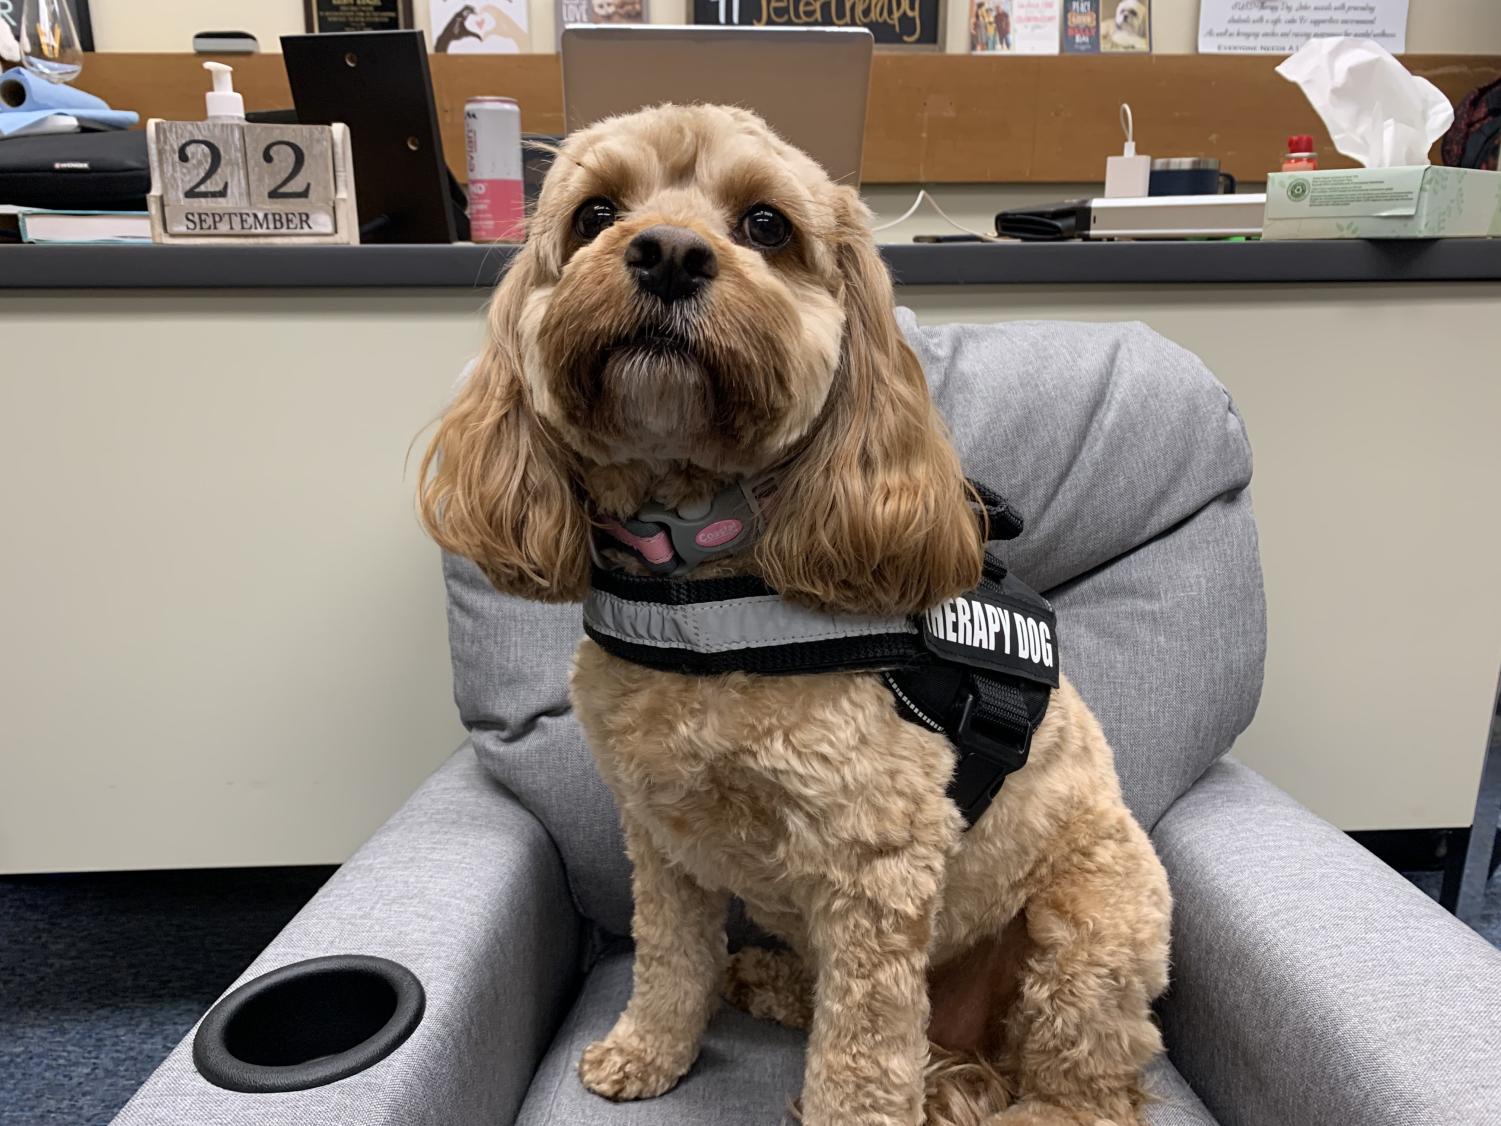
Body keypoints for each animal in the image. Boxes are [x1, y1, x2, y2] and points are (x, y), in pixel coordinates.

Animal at [423, 101, 1170, 1122]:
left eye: (766, 225)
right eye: (595, 214)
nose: (665, 253)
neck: (698, 583)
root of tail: (968, 1046)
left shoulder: (875, 863)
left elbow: (860, 1052)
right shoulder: (662, 839)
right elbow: (669, 958)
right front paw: (649, 1050)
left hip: (1089, 930)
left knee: (1087, 1084)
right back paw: (770, 981)